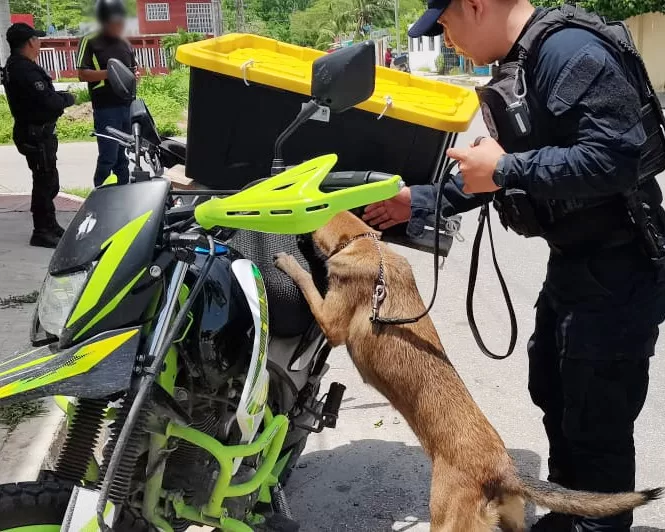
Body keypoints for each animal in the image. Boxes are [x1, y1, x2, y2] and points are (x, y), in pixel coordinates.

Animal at [274, 212, 660, 532]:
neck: (363, 241)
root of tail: (505, 472)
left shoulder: (331, 323)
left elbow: (307, 282)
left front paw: (289, 262)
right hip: (509, 521)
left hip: (447, 520)